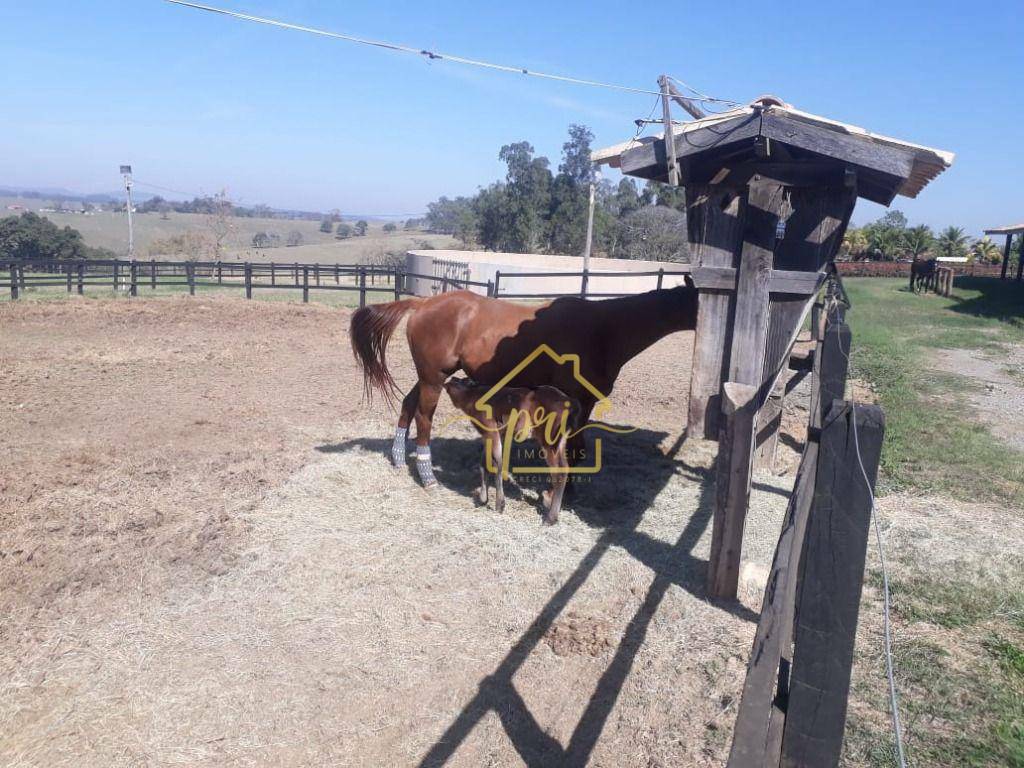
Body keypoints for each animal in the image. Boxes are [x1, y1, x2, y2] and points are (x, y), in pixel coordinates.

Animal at [348, 286, 700, 489]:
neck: (603, 329)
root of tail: (423, 303)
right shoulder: (576, 401)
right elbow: (572, 449)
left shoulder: (583, 404)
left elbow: (577, 448)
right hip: (434, 378)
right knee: (423, 417)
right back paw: (427, 475)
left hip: (429, 376)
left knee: (408, 405)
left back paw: (398, 457)